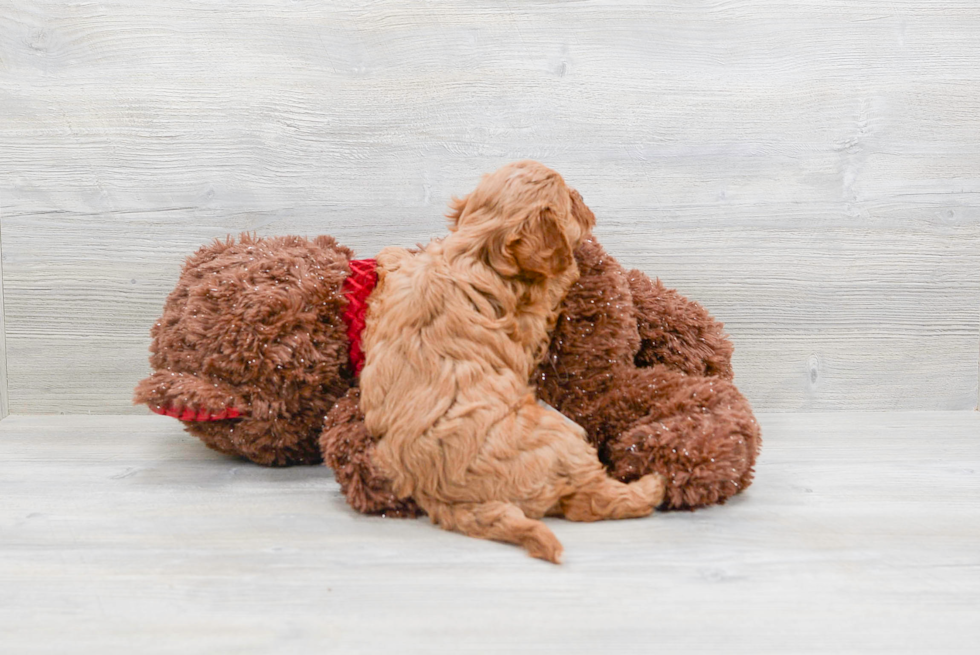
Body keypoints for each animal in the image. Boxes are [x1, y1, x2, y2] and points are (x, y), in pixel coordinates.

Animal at [356, 160, 664, 564]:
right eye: (570, 201)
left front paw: (390, 255)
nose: (583, 197)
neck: (474, 249)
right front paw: (572, 266)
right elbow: (556, 282)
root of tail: (443, 497)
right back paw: (650, 488)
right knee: (587, 502)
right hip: (563, 439)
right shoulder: (530, 321)